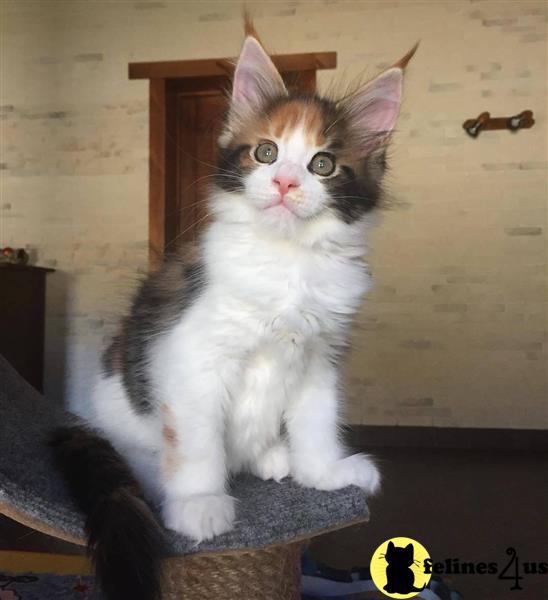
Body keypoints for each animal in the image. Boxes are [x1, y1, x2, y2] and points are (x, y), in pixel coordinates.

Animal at [49, 24, 416, 600]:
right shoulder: (193, 356)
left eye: (322, 164)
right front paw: (199, 504)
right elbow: (197, 441)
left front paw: (324, 472)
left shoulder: (320, 356)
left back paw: (272, 456)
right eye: (266, 152)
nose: (285, 183)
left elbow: (317, 419)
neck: (287, 259)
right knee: (149, 453)